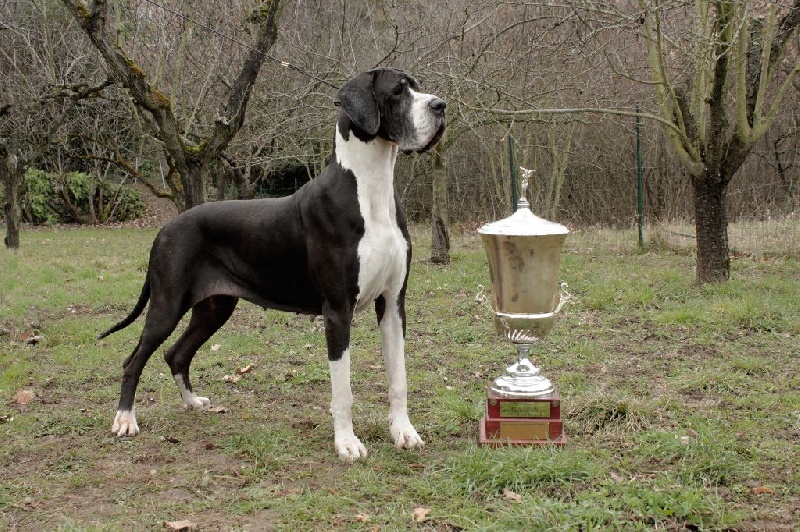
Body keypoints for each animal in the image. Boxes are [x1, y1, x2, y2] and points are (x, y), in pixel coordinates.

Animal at [99, 68, 446, 462]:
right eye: (398, 91)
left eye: (416, 86)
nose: (441, 105)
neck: (371, 189)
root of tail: (165, 228)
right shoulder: (338, 310)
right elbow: (342, 389)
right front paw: (346, 442)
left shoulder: (393, 303)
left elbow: (398, 376)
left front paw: (404, 432)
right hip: (167, 305)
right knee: (134, 359)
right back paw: (125, 419)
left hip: (214, 308)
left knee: (176, 354)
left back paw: (192, 402)